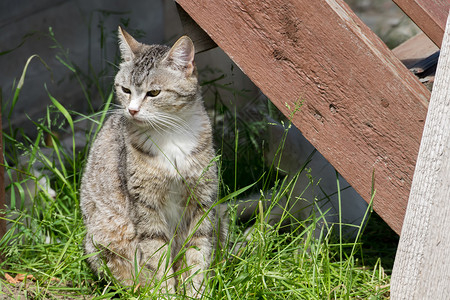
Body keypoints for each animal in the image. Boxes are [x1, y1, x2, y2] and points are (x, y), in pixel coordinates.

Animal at [79, 27, 227, 298]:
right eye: (126, 90)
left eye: (154, 93)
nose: (132, 110)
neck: (170, 134)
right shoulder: (146, 206)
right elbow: (157, 257)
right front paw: (166, 293)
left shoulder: (203, 201)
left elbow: (197, 253)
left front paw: (195, 292)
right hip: (103, 238)